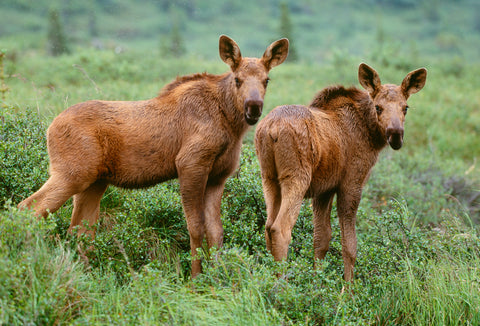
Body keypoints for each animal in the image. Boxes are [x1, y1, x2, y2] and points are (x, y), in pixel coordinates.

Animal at [17, 35, 288, 276]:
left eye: (267, 80)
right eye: (238, 79)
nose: (253, 107)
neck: (230, 125)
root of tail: (50, 127)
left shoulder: (218, 176)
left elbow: (216, 231)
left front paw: (219, 279)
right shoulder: (190, 164)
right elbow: (195, 227)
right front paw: (195, 279)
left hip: (95, 182)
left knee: (80, 230)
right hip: (72, 173)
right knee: (28, 208)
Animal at [255, 63, 428, 280]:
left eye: (405, 107)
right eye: (378, 107)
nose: (395, 135)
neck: (370, 134)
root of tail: (271, 129)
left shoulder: (324, 190)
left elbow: (321, 239)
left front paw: (318, 280)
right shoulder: (351, 184)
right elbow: (350, 245)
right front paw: (348, 287)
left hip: (269, 178)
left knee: (268, 226)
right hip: (296, 177)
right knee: (280, 228)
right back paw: (281, 282)